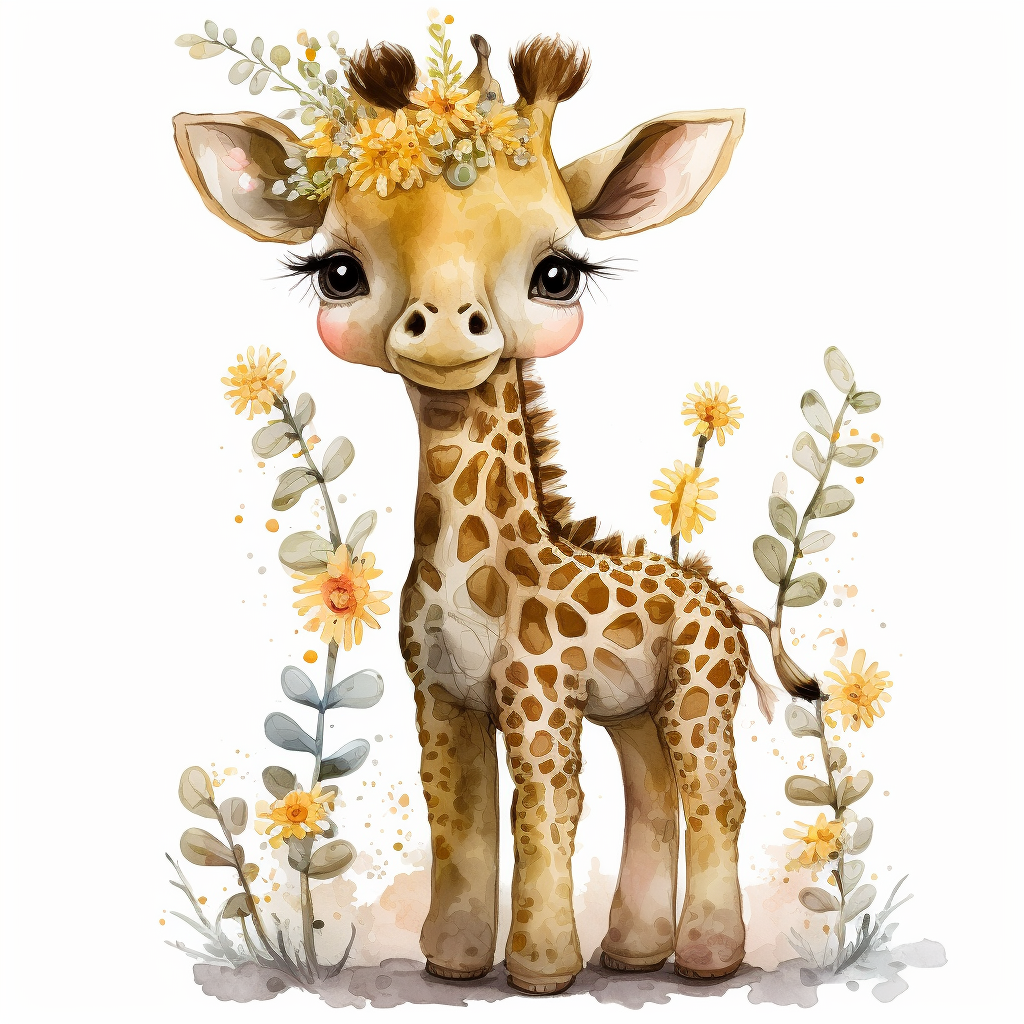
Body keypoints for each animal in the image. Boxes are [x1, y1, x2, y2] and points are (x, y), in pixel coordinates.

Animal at [174, 31, 818, 995]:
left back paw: (707, 958)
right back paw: (634, 953)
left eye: (557, 274)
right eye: (339, 272)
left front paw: (541, 971)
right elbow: (462, 814)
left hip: (700, 693)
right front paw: (456, 961)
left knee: (716, 796)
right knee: (655, 791)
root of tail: (721, 595)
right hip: (636, 708)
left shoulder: (538, 695)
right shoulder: (442, 694)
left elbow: (543, 809)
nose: (444, 326)